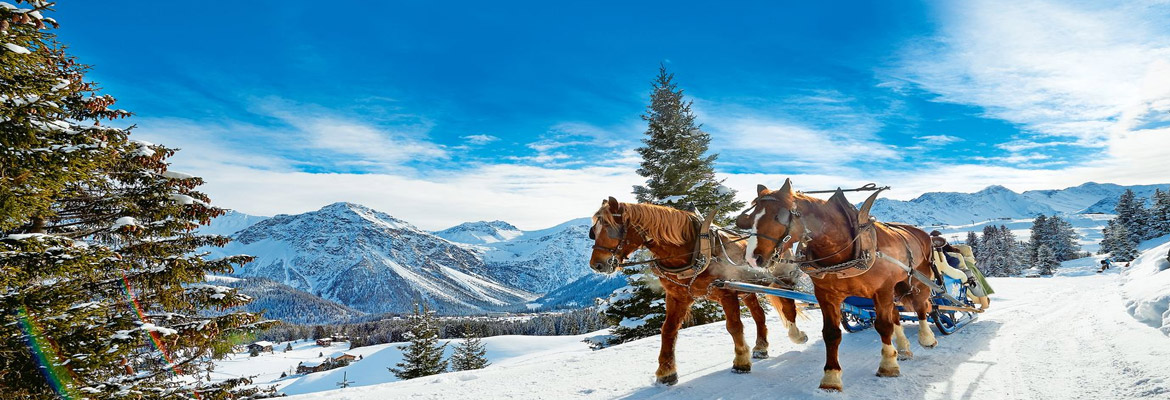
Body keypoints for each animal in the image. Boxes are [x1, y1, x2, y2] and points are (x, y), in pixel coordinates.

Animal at [589, 196, 809, 383]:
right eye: (593, 231)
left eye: (609, 227)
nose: (596, 265)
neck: (693, 250)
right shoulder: (677, 296)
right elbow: (668, 330)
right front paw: (666, 371)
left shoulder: (727, 292)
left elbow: (734, 326)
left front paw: (741, 362)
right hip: (748, 290)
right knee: (759, 315)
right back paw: (761, 347)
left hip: (781, 282)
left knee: (788, 307)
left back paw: (797, 335)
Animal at [734, 180, 935, 390]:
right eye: (750, 218)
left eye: (777, 216)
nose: (752, 258)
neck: (844, 247)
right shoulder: (827, 295)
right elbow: (831, 333)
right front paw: (831, 376)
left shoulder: (882, 290)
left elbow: (883, 326)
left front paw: (888, 365)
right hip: (895, 286)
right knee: (896, 313)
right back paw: (904, 349)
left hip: (918, 279)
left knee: (921, 305)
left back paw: (927, 337)